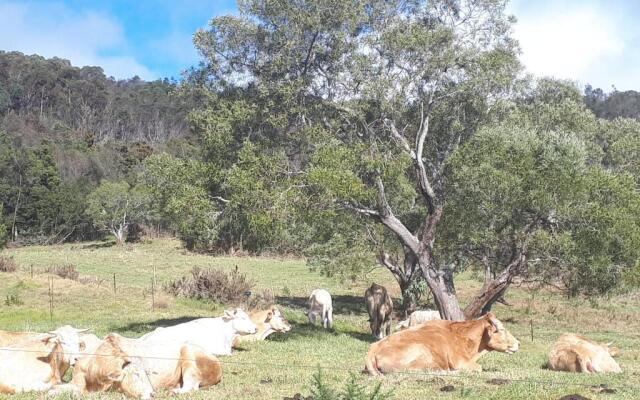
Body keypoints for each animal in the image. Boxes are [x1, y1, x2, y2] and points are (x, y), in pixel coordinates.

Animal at [362, 312, 516, 376]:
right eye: (502, 329)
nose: (517, 343)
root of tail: (374, 347)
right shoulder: (460, 362)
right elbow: (479, 368)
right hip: (420, 352)